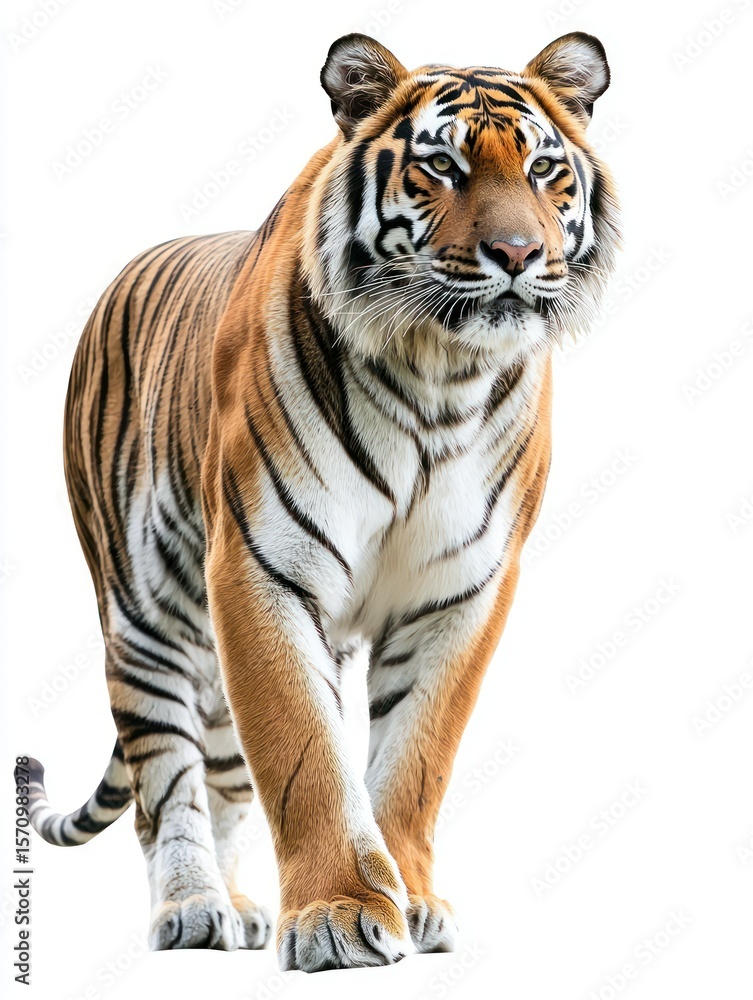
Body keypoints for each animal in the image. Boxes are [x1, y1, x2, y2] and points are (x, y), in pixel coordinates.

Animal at [28, 31, 620, 972]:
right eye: (443, 166)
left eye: (542, 169)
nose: (519, 255)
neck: (439, 375)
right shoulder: (262, 568)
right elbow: (302, 754)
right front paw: (339, 914)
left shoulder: (460, 587)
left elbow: (415, 759)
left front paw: (408, 900)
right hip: (142, 617)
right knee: (167, 781)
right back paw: (192, 907)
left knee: (224, 774)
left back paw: (240, 907)